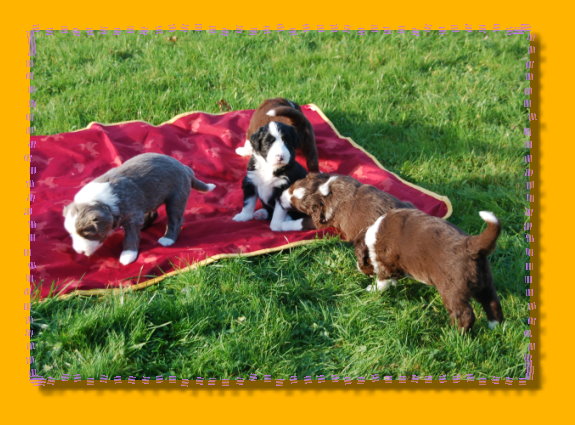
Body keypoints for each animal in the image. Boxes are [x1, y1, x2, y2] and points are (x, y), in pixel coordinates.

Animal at [63, 153, 215, 265]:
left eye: (87, 234)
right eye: (71, 234)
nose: (80, 252)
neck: (102, 202)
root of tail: (185, 168)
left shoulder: (132, 215)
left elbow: (131, 236)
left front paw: (128, 255)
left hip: (176, 196)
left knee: (175, 220)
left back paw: (168, 239)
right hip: (153, 195)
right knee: (153, 213)